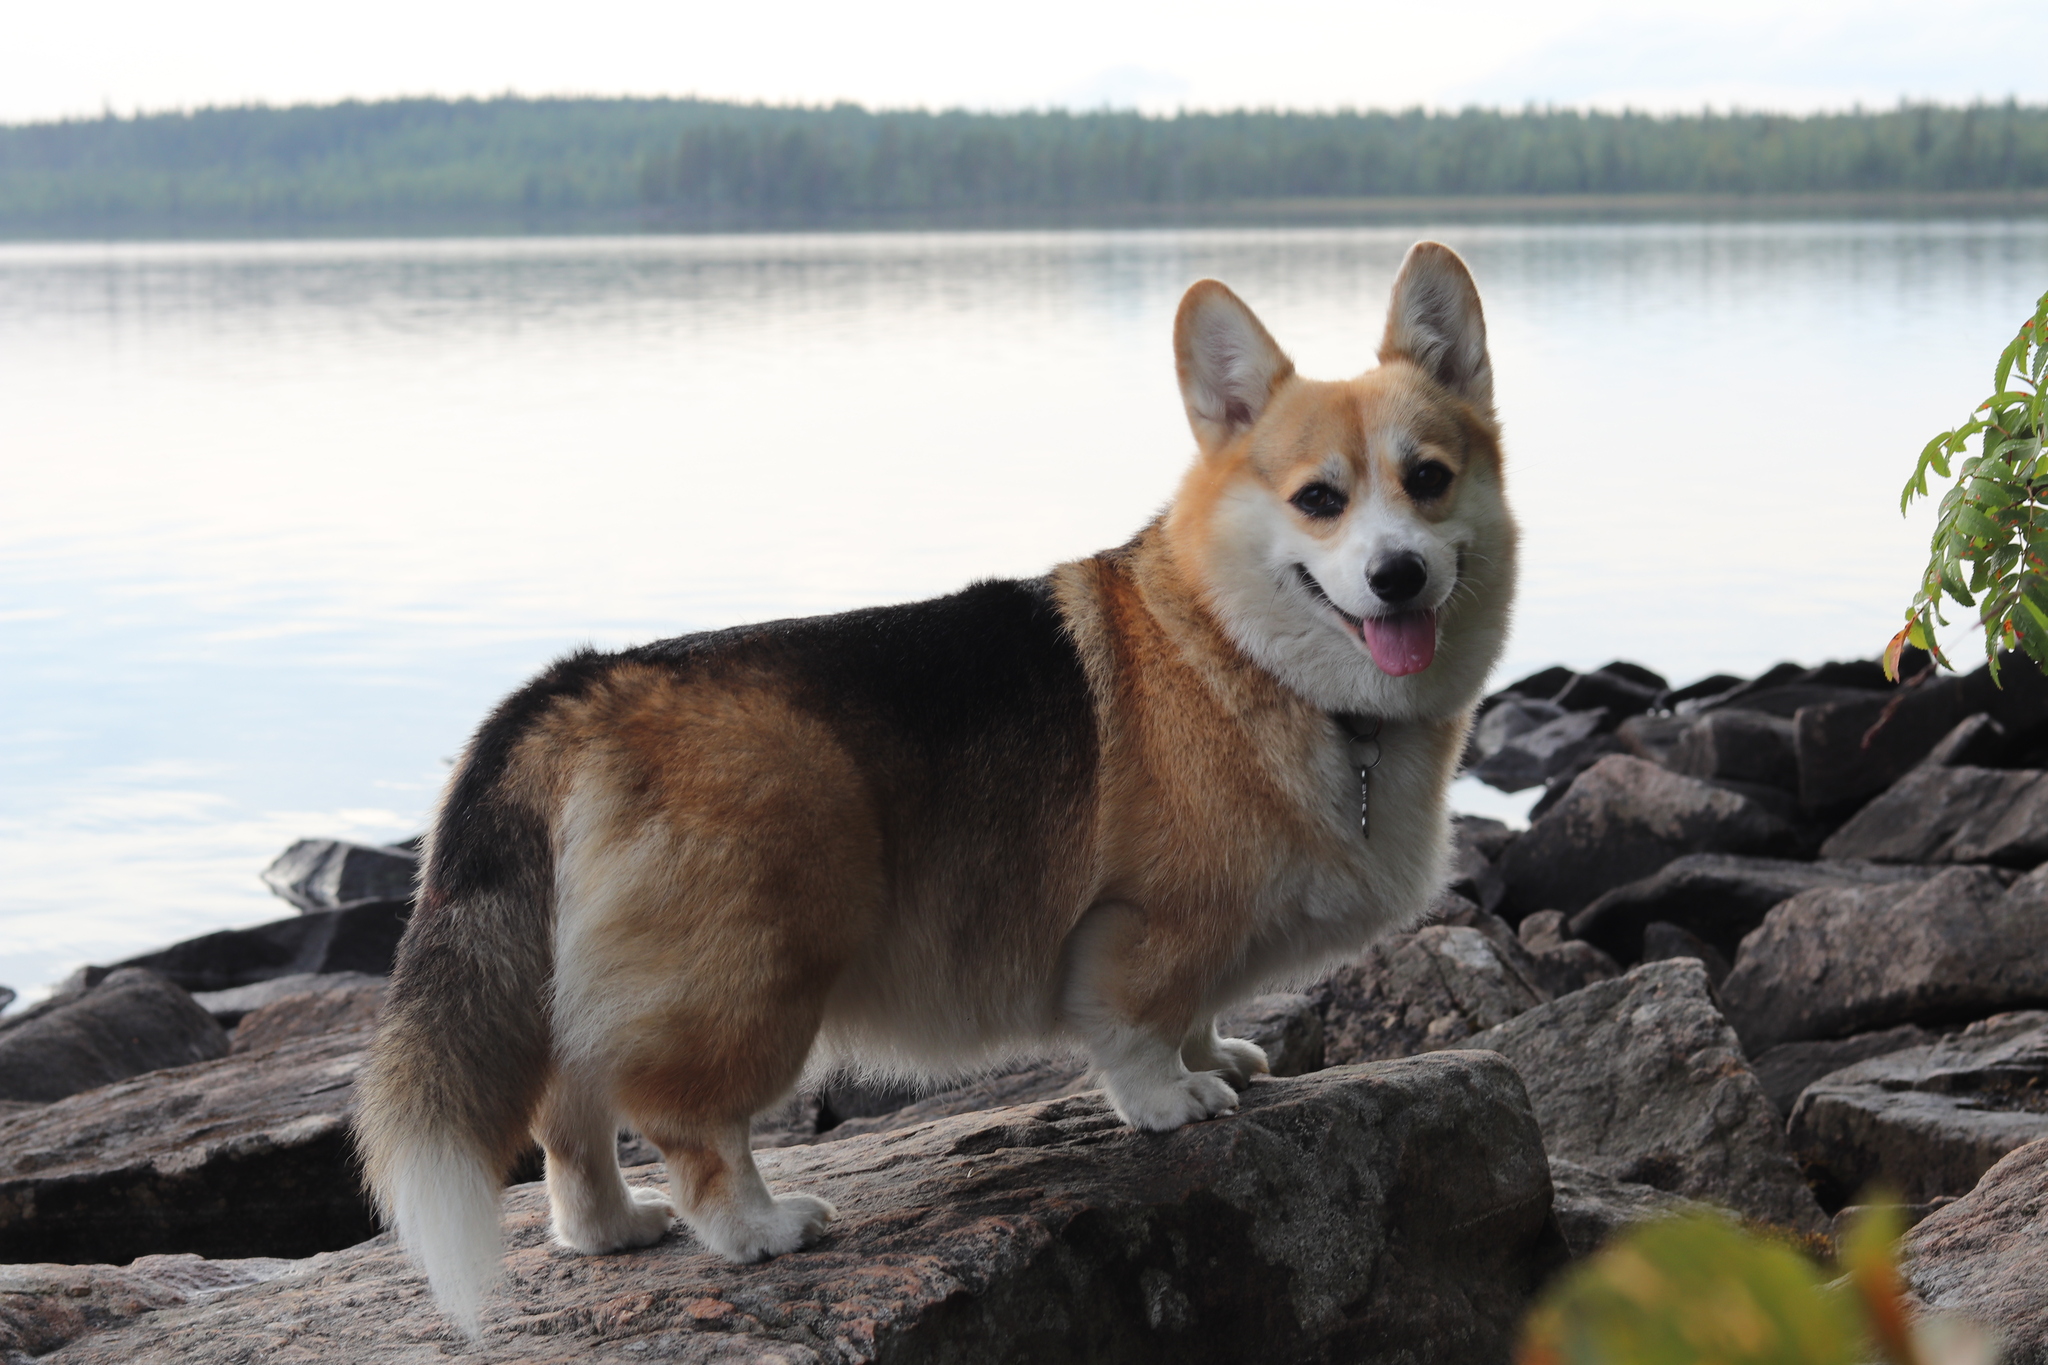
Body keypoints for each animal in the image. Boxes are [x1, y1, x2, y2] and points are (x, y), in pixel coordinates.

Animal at [356, 237, 1523, 1334]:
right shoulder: (1143, 926)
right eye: (1319, 500)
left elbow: (1198, 1012)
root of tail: (574, 689)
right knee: (688, 1124)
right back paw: (759, 1228)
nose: (1398, 576)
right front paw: (1173, 1099)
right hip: (751, 977)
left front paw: (1221, 1060)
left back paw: (610, 1229)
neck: (1243, 648)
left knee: (569, 1114)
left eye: (1428, 478)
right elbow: (1140, 1026)